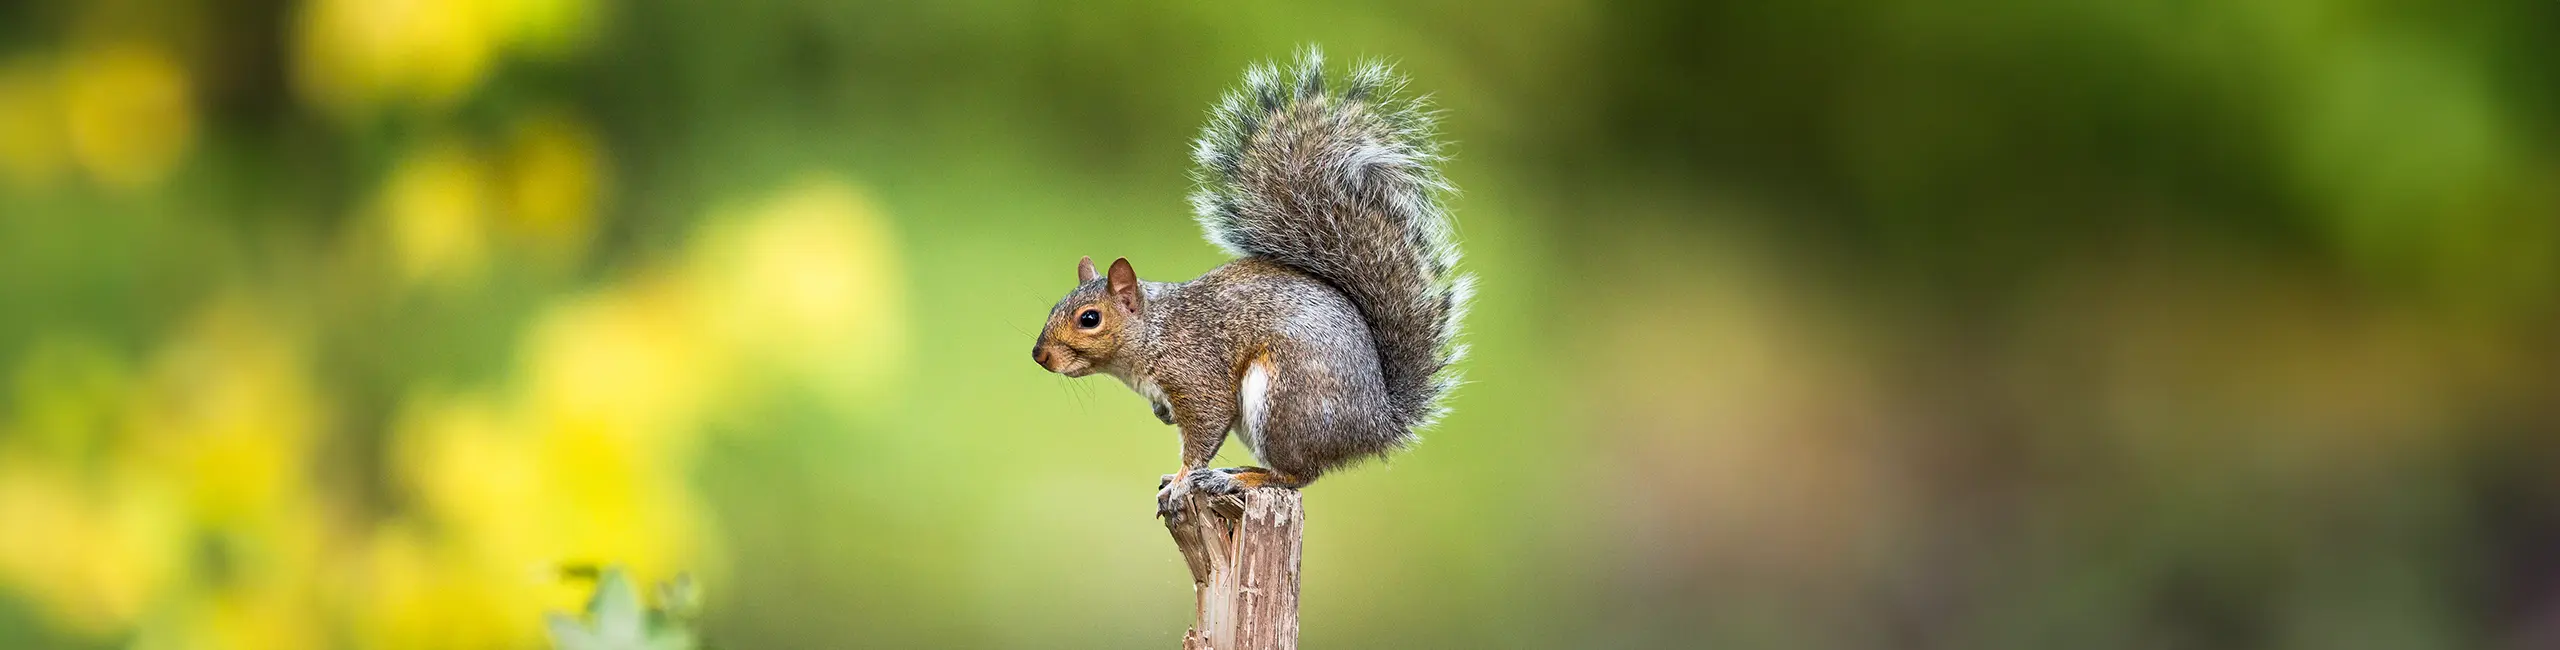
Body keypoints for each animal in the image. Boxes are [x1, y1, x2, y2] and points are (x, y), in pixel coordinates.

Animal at [1024, 48, 1474, 519]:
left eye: (1089, 319)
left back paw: (1233, 479)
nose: (1040, 356)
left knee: (1297, 475)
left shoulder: (1197, 375)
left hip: (1284, 403)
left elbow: (1203, 433)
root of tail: (1376, 425)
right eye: (1055, 307)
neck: (1154, 332)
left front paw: (1181, 482)